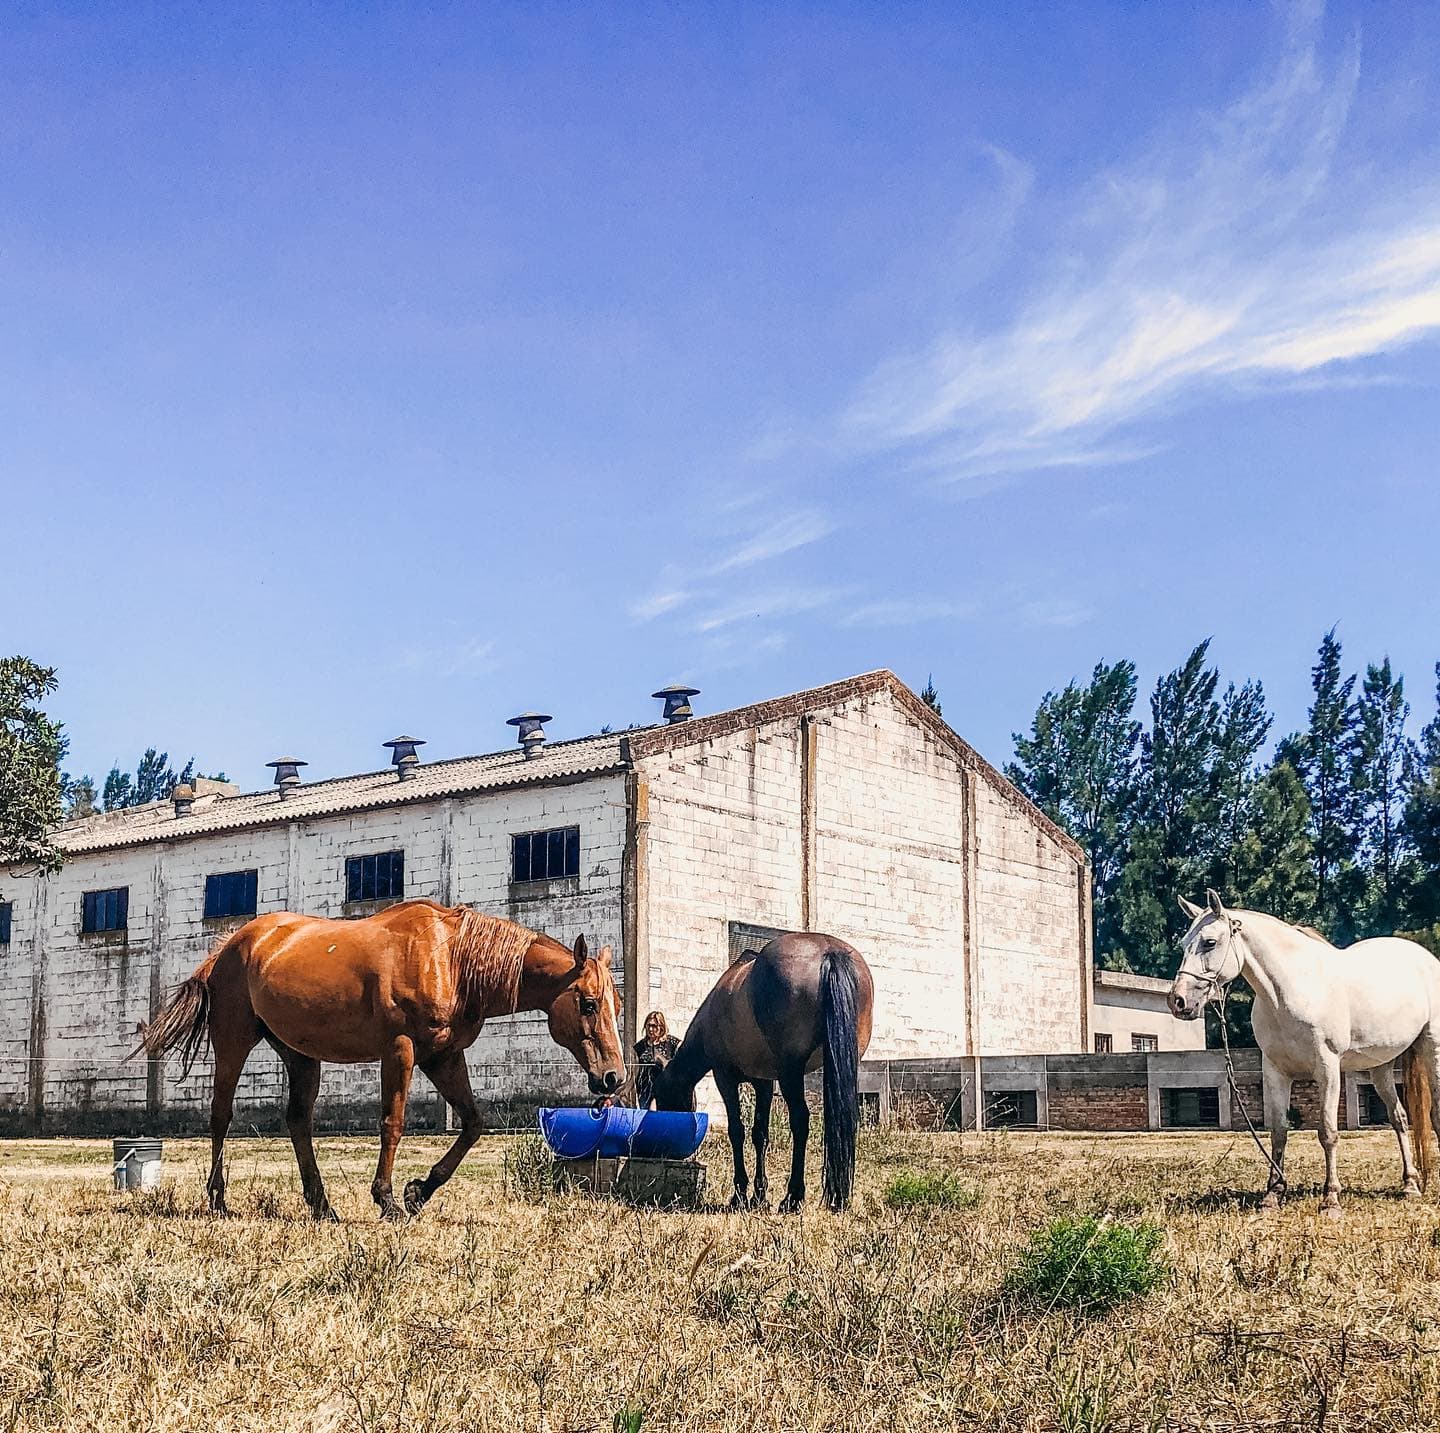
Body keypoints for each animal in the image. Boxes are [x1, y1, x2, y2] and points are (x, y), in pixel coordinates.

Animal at [141, 898, 630, 1221]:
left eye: (618, 1005)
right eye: (589, 1004)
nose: (612, 1078)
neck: (451, 959)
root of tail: (229, 946)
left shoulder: (444, 1056)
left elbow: (473, 1124)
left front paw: (419, 1192)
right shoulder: (401, 1050)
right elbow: (392, 1124)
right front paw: (388, 1199)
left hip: (300, 1055)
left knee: (298, 1122)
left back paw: (322, 1206)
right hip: (234, 1042)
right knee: (221, 1115)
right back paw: (218, 1200)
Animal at [650, 933, 869, 1215]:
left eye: (662, 1096)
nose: (668, 1150)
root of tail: (830, 954)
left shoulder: (725, 1077)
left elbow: (737, 1131)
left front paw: (740, 1194)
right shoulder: (764, 1083)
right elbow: (760, 1134)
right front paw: (759, 1195)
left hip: (791, 1074)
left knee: (800, 1121)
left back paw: (793, 1197)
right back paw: (838, 1197)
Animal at [1169, 892, 1440, 1215]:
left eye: (1209, 942)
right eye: (1183, 945)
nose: (1179, 1001)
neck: (1290, 991)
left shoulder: (1328, 1069)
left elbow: (1328, 1132)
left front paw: (1331, 1199)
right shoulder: (1275, 1072)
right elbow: (1279, 1131)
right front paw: (1273, 1194)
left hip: (1431, 1048)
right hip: (1381, 1066)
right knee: (1398, 1118)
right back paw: (1410, 1185)